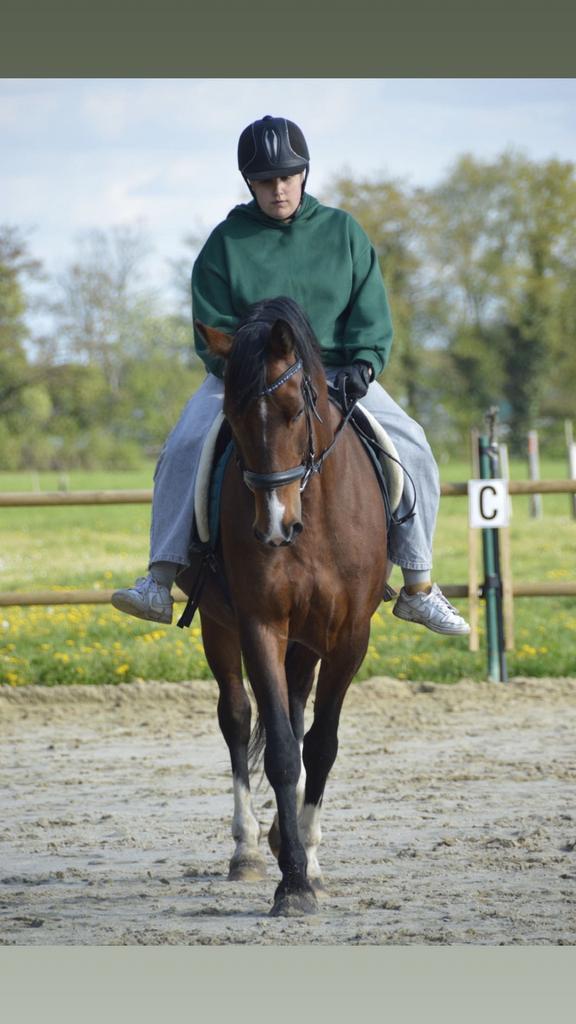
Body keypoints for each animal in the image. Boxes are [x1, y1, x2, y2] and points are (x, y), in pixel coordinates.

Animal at [179, 296, 388, 917]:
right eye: (233, 415)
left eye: (298, 409)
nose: (274, 526)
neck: (313, 519)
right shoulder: (260, 626)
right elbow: (278, 752)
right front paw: (291, 882)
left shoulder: (349, 637)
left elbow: (319, 745)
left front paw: (308, 861)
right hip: (220, 629)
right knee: (237, 717)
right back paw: (249, 848)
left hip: (308, 641)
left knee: (297, 720)